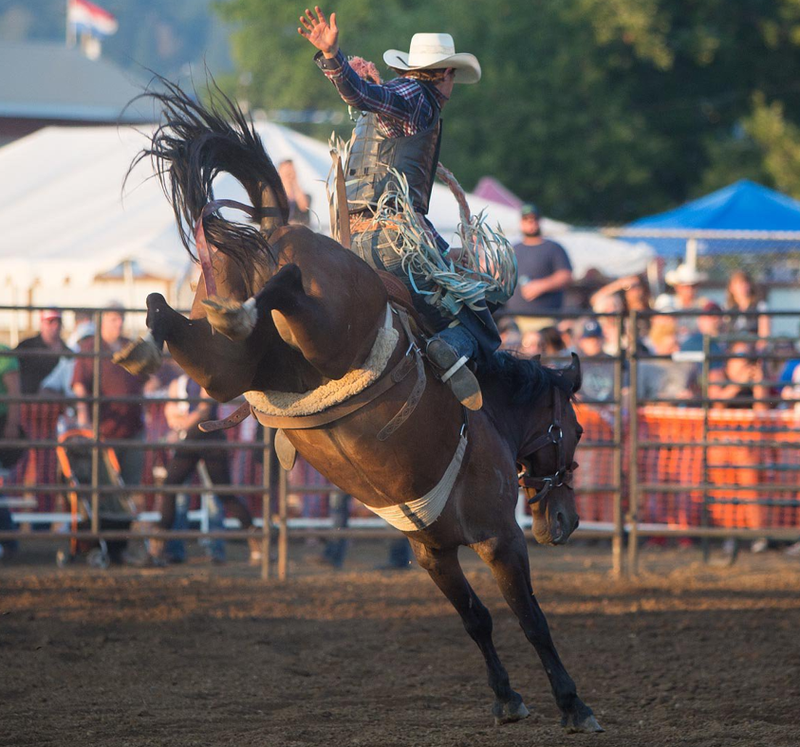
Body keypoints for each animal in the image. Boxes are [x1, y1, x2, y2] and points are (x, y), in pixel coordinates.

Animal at [115, 79, 604, 732]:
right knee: (285, 287)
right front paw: (573, 705)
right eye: (573, 430)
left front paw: (506, 697)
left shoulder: (430, 549)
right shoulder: (499, 536)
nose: (565, 520)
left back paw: (158, 338)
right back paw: (231, 312)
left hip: (232, 363)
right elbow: (531, 621)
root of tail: (279, 229)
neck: (490, 419)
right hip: (327, 328)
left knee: (181, 325)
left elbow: (476, 619)